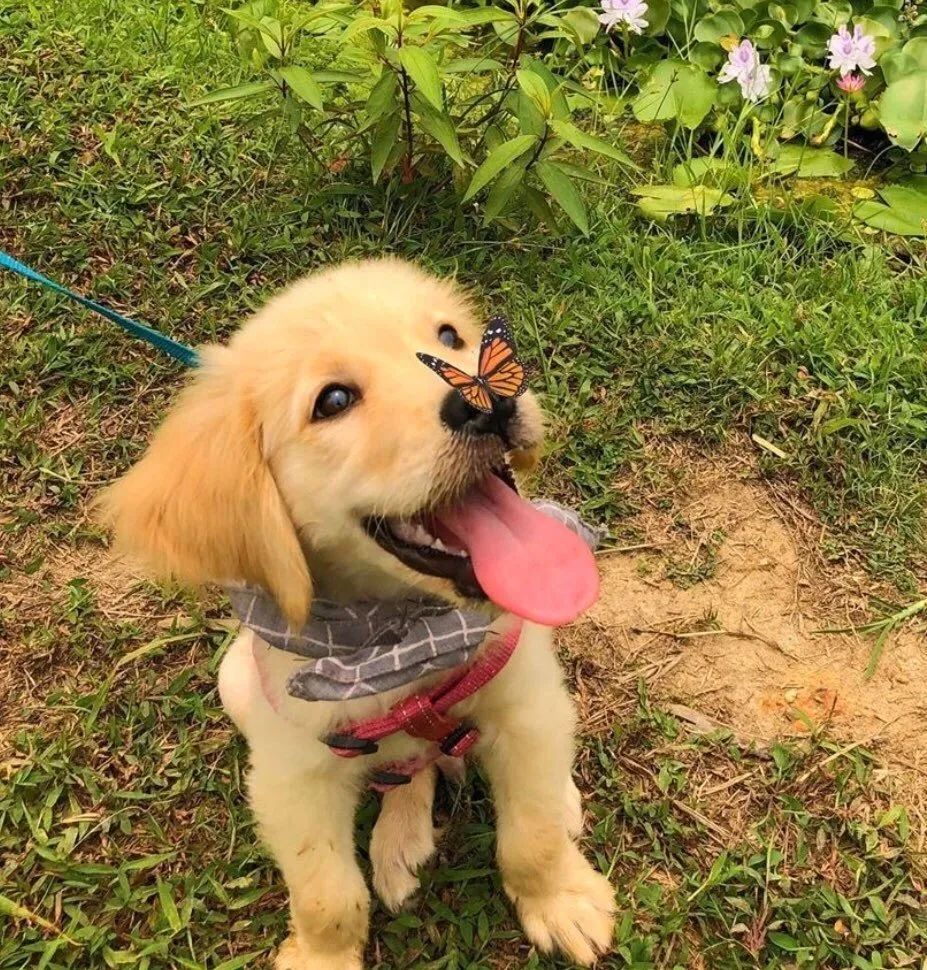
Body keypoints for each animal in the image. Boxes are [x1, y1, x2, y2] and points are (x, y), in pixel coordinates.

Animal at [101, 260, 612, 968]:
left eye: (450, 336)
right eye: (334, 401)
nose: (489, 402)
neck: (403, 641)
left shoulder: (524, 703)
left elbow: (530, 835)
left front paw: (559, 899)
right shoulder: (292, 776)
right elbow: (326, 894)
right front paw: (322, 955)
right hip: (234, 682)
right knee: (403, 773)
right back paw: (401, 838)